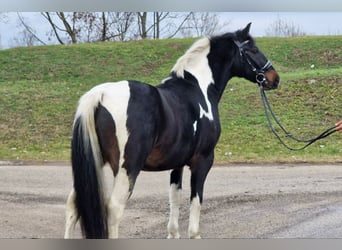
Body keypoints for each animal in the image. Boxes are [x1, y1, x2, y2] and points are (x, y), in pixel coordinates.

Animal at [62, 23, 280, 238]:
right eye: (253, 49)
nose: (274, 78)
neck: (199, 89)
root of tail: (101, 94)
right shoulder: (203, 160)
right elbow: (196, 200)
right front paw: (194, 234)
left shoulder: (178, 163)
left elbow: (174, 198)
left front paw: (173, 234)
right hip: (127, 169)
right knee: (114, 209)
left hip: (94, 162)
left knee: (73, 205)